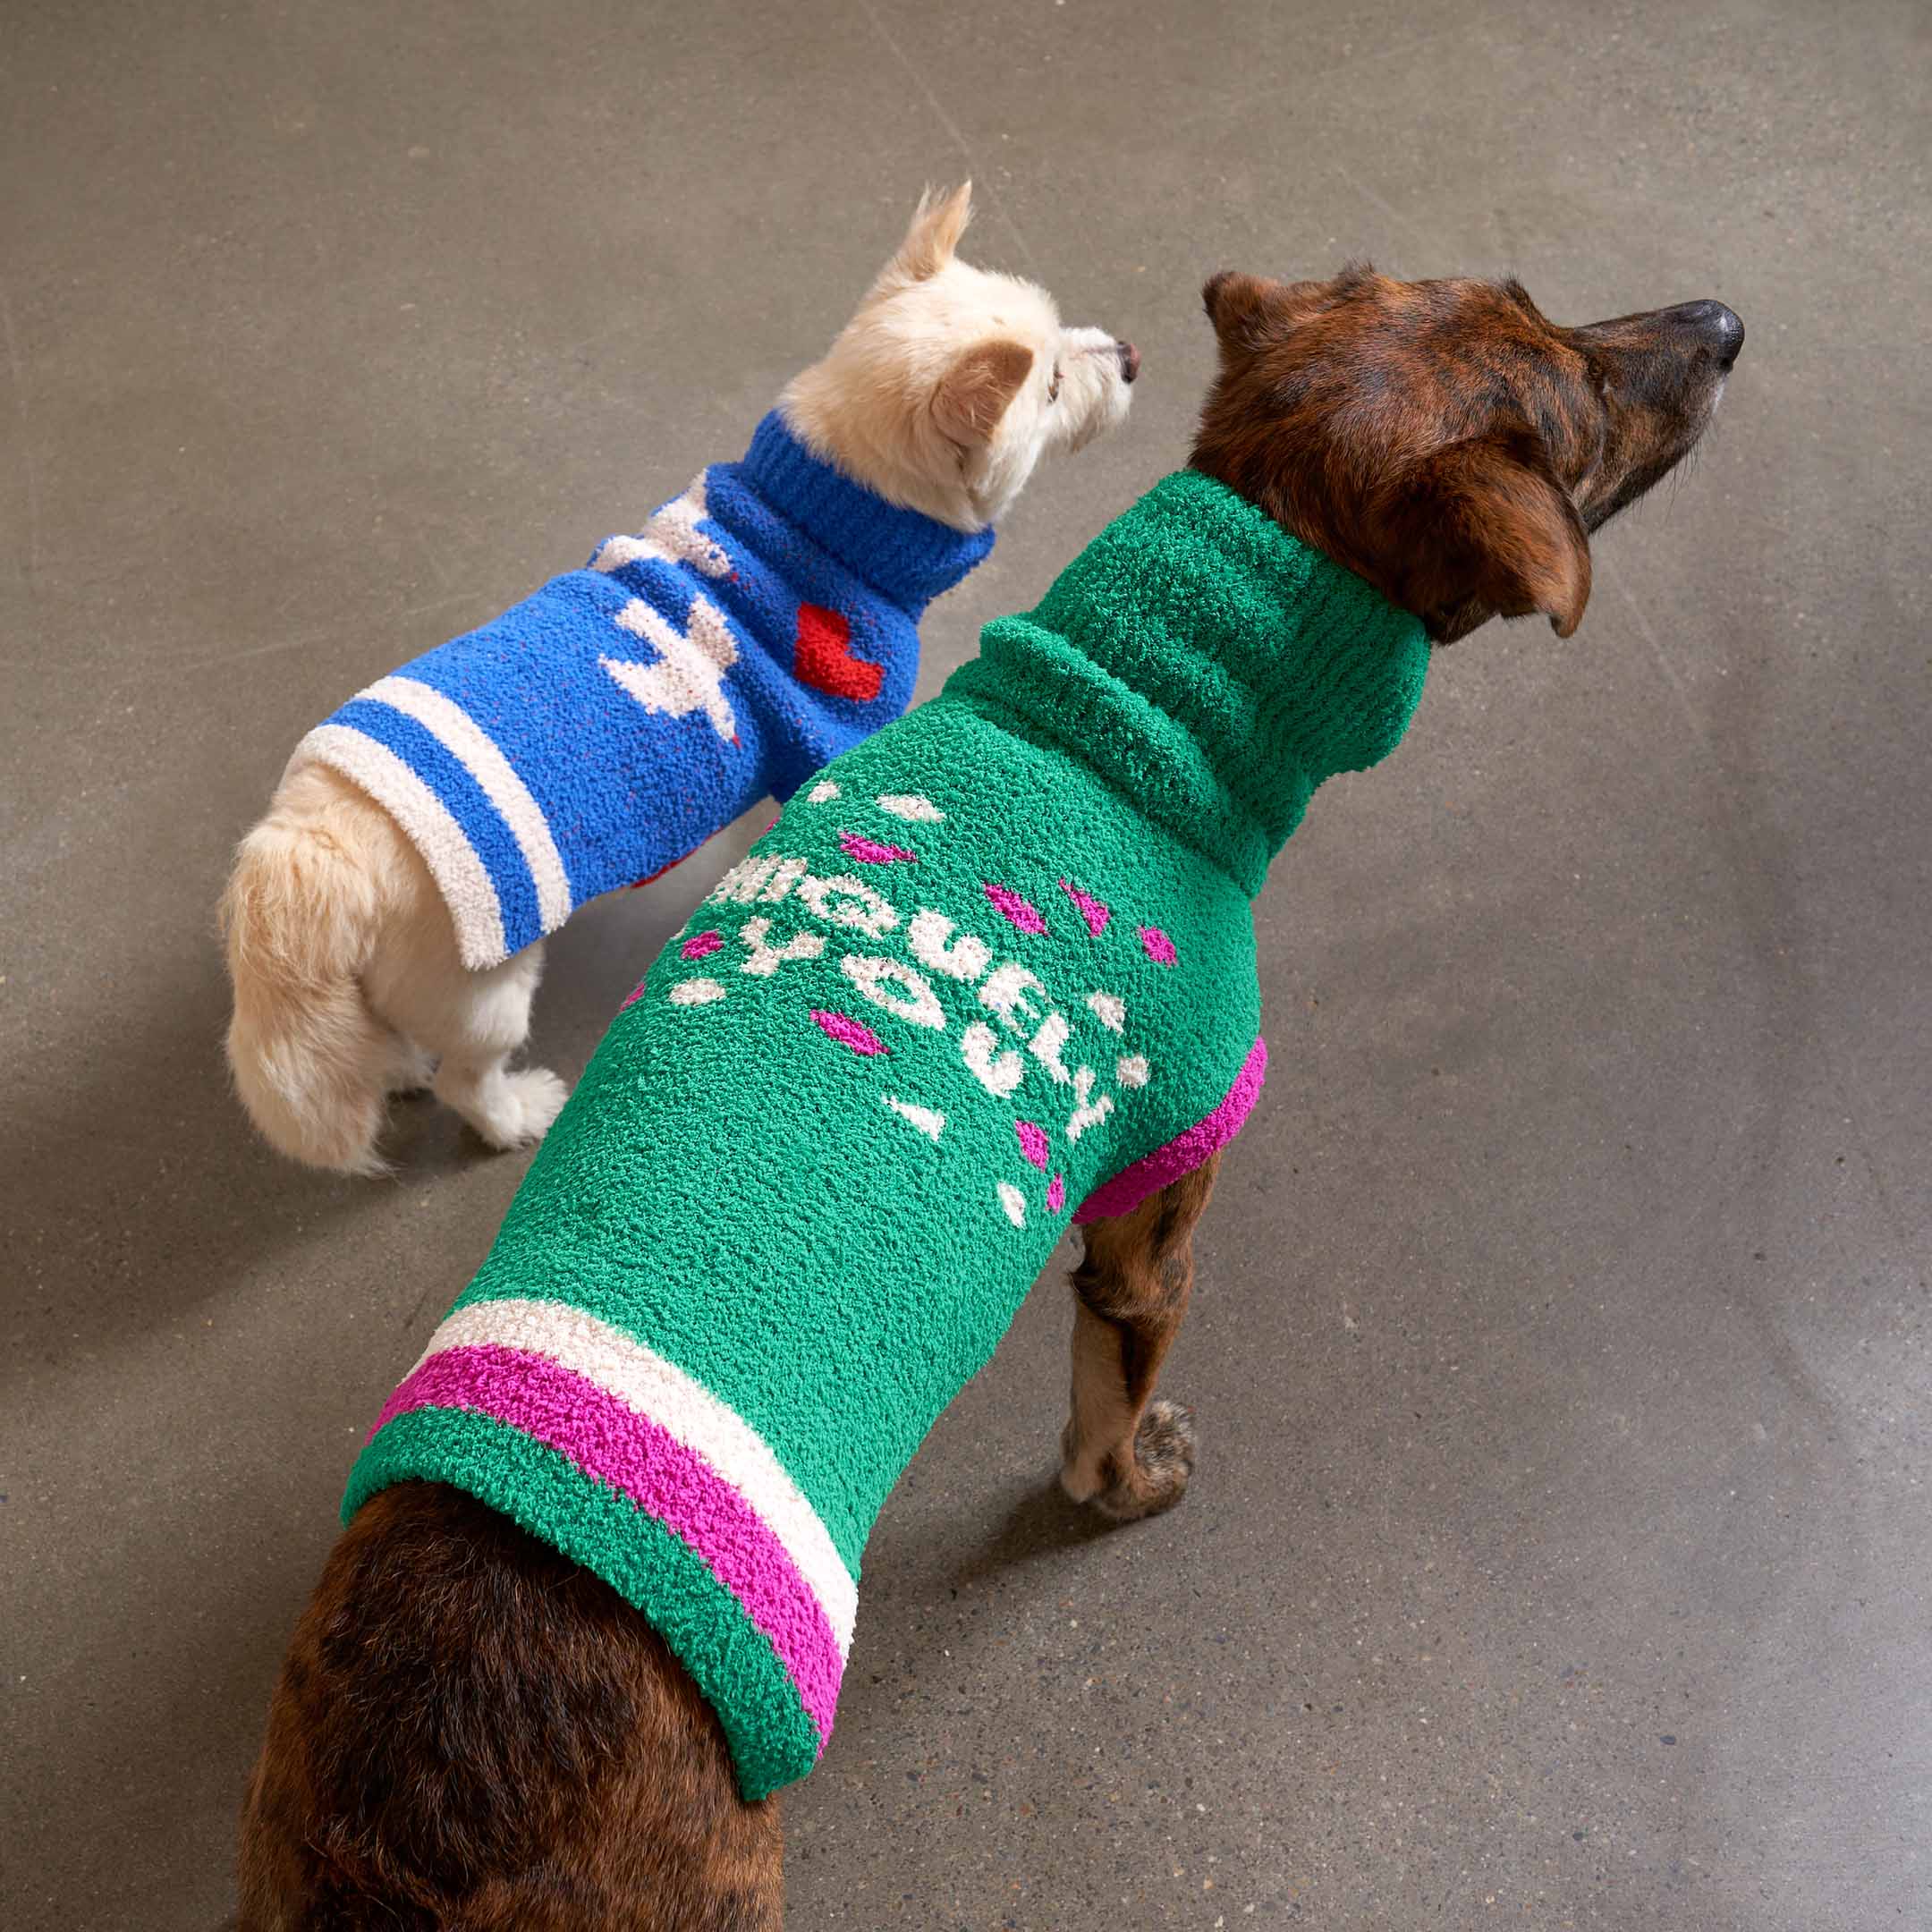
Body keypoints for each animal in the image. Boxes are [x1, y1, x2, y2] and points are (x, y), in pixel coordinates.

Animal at [221, 184, 1136, 1174]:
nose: (1131, 356)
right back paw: (514, 1112)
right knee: (472, 1078)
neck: (823, 514)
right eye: (1050, 386)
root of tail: (308, 842)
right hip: (482, 985)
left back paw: (394, 1066)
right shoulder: (831, 743)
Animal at [237, 268, 1739, 1932]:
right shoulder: (1159, 1210)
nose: (1725, 324)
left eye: (1532, 305)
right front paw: (1131, 1485)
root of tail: (432, 1786)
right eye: (1575, 404)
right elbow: (1105, 1410)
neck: (1126, 715)